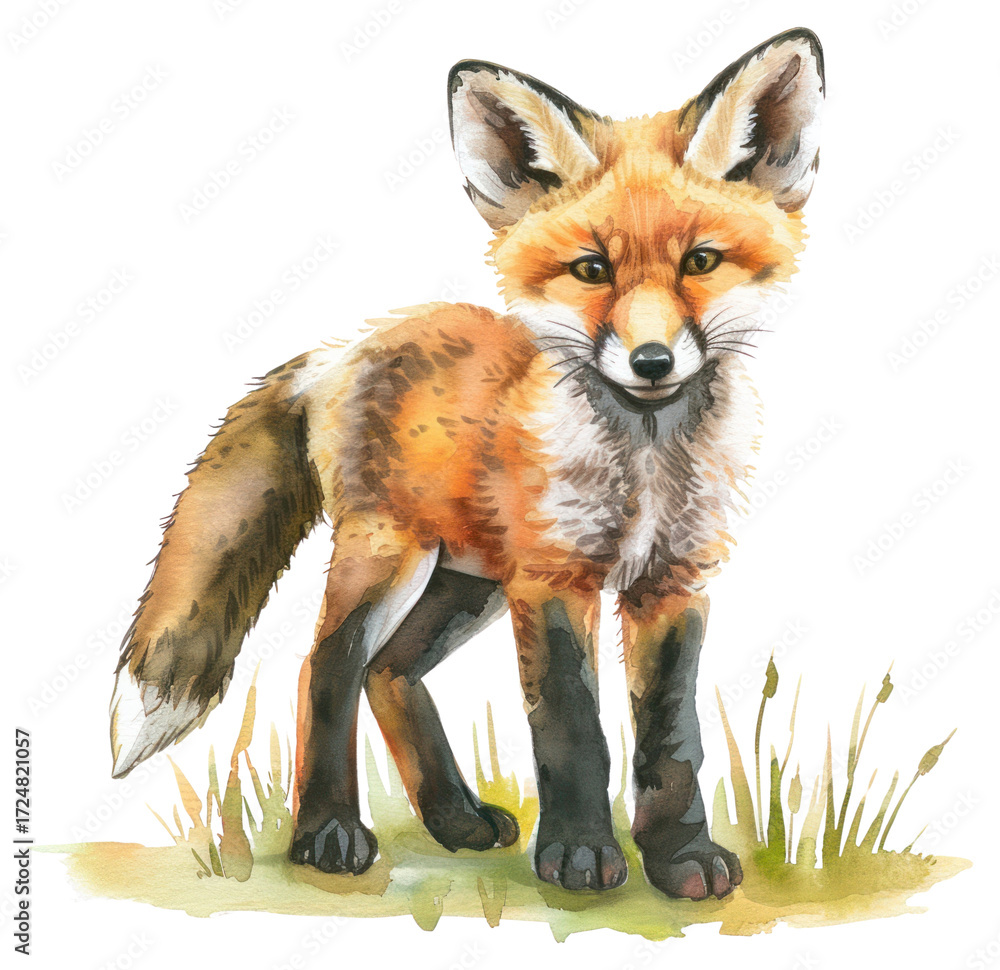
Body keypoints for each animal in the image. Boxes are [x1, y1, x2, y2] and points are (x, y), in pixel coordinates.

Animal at [110, 28, 824, 900]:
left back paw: (453, 820)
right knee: (328, 666)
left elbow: (671, 737)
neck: (645, 467)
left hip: (467, 582)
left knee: (388, 674)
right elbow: (571, 726)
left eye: (700, 262)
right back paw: (328, 833)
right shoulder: (551, 579)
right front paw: (581, 857)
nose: (652, 361)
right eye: (592, 269)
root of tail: (344, 348)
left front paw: (680, 856)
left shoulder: (672, 582)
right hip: (391, 556)